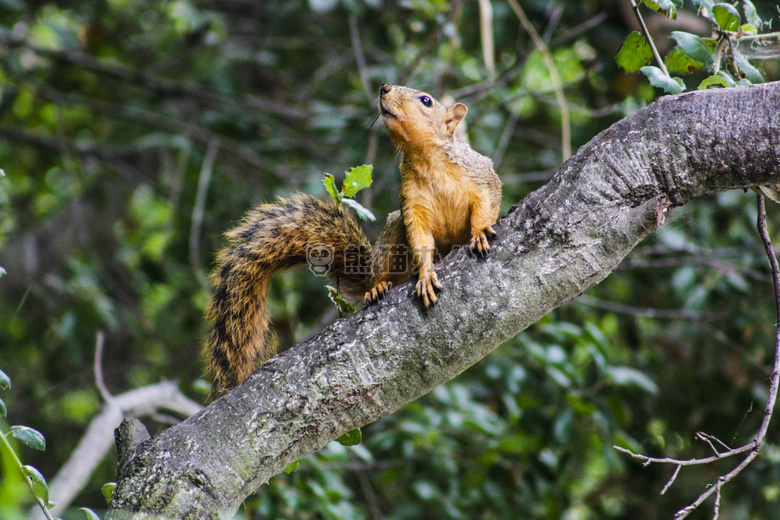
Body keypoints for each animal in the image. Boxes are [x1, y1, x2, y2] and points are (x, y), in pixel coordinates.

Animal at [204, 84, 502, 394]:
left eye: (426, 100)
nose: (384, 88)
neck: (426, 160)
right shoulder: (412, 206)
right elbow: (421, 240)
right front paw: (426, 275)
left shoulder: (480, 174)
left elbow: (487, 203)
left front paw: (480, 232)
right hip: (393, 233)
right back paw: (377, 287)